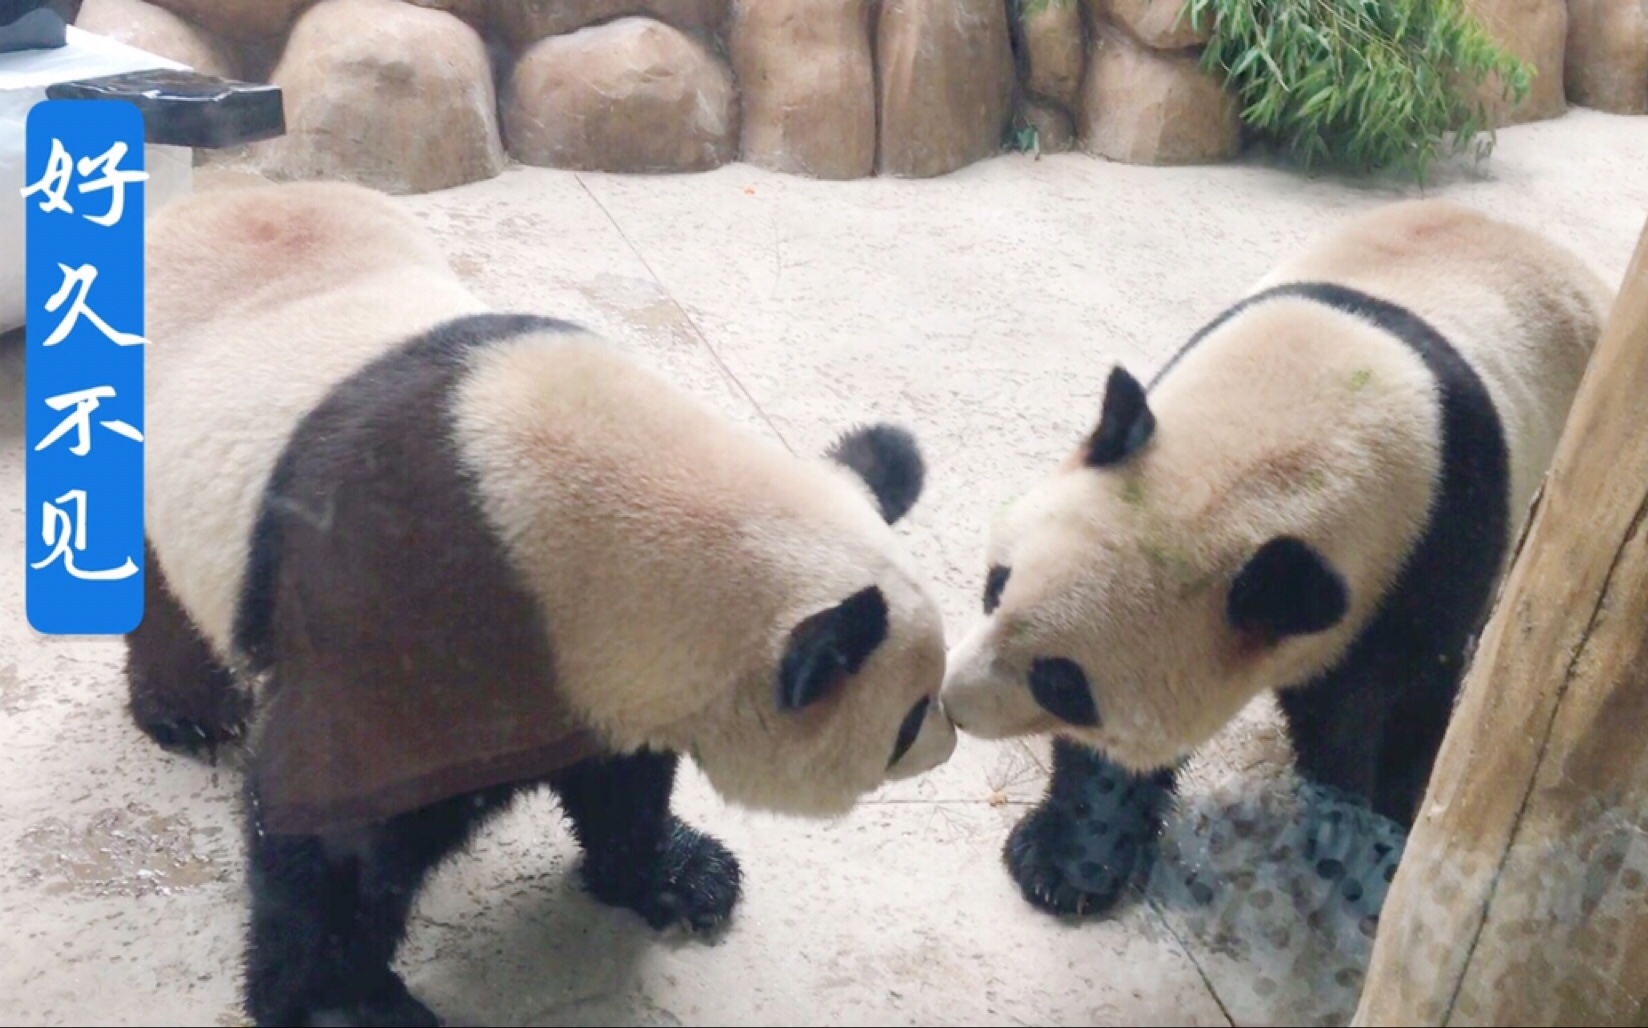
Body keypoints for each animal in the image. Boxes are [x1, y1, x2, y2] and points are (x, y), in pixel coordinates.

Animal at [128, 180, 962, 1021]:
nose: (948, 743)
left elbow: (620, 782)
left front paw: (681, 876)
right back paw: (188, 713)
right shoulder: (400, 610)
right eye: (908, 717)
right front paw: (340, 1002)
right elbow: (336, 821)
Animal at [936, 198, 1615, 915]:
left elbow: (1394, 704)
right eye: (994, 585)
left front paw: (1372, 854)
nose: (953, 703)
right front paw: (1064, 861)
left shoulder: (1435, 543)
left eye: (1062, 682)